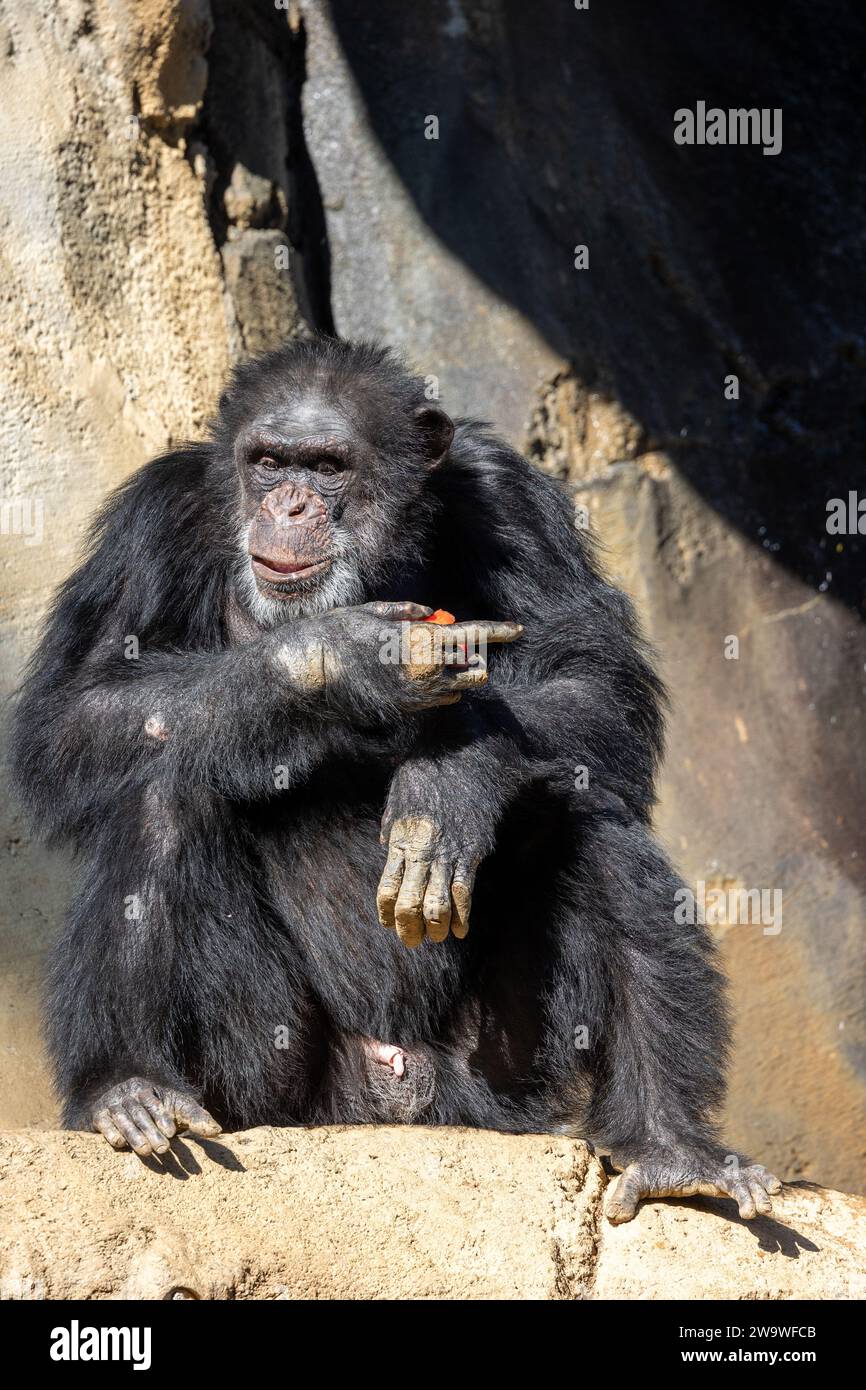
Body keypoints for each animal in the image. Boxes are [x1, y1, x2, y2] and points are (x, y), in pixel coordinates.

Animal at [8, 333, 778, 1217]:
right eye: (268, 461)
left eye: (329, 466)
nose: (290, 506)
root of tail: (397, 1095)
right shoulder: (153, 522)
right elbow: (76, 711)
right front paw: (340, 658)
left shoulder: (514, 501)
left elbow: (593, 680)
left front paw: (450, 774)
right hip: (278, 1084)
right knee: (163, 793)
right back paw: (131, 1087)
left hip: (500, 1080)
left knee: (578, 808)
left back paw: (668, 1147)